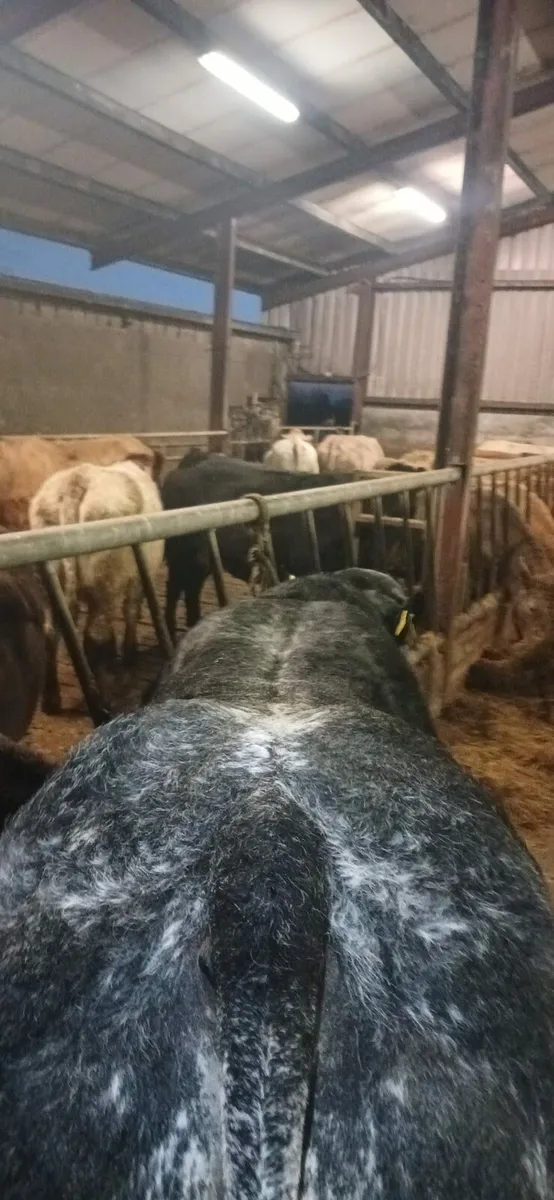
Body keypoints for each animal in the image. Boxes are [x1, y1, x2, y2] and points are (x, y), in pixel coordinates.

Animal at [29, 460, 164, 713]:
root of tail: (77, 479)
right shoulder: (138, 580)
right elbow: (131, 612)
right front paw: (130, 655)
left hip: (51, 582)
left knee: (51, 634)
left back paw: (51, 700)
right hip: (105, 588)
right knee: (96, 638)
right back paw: (105, 700)